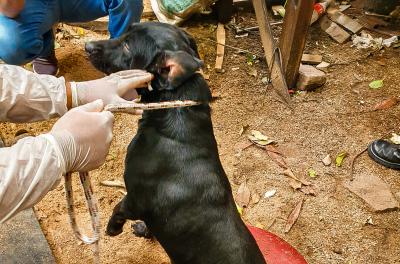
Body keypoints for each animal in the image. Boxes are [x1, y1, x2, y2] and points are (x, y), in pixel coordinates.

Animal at [85, 22, 266, 264]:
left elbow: (118, 208)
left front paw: (113, 228)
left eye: (127, 46)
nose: (87, 46)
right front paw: (144, 230)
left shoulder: (134, 199)